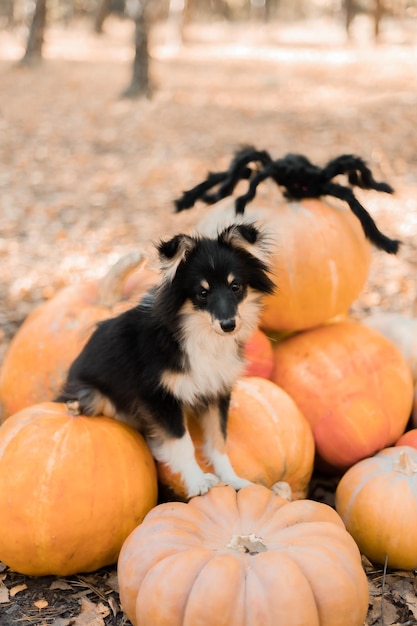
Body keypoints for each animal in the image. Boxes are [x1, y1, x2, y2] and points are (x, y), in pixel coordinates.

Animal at [57, 222, 274, 494]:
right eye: (202, 293)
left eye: (236, 287)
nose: (228, 325)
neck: (197, 333)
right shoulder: (159, 396)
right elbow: (182, 442)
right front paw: (197, 482)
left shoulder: (216, 391)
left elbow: (218, 440)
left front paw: (232, 480)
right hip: (92, 396)